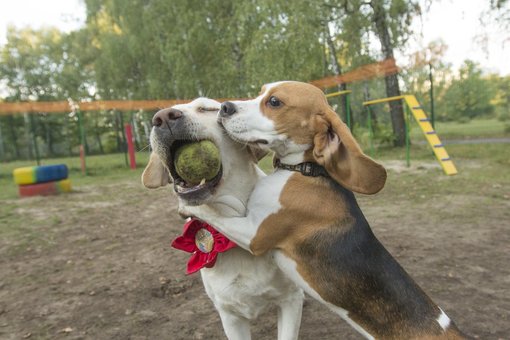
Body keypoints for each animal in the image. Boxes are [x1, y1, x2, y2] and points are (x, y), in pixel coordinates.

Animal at [182, 83, 466, 340]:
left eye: (274, 102)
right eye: (260, 92)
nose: (225, 107)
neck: (305, 171)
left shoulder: (255, 235)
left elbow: (215, 213)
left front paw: (187, 204)